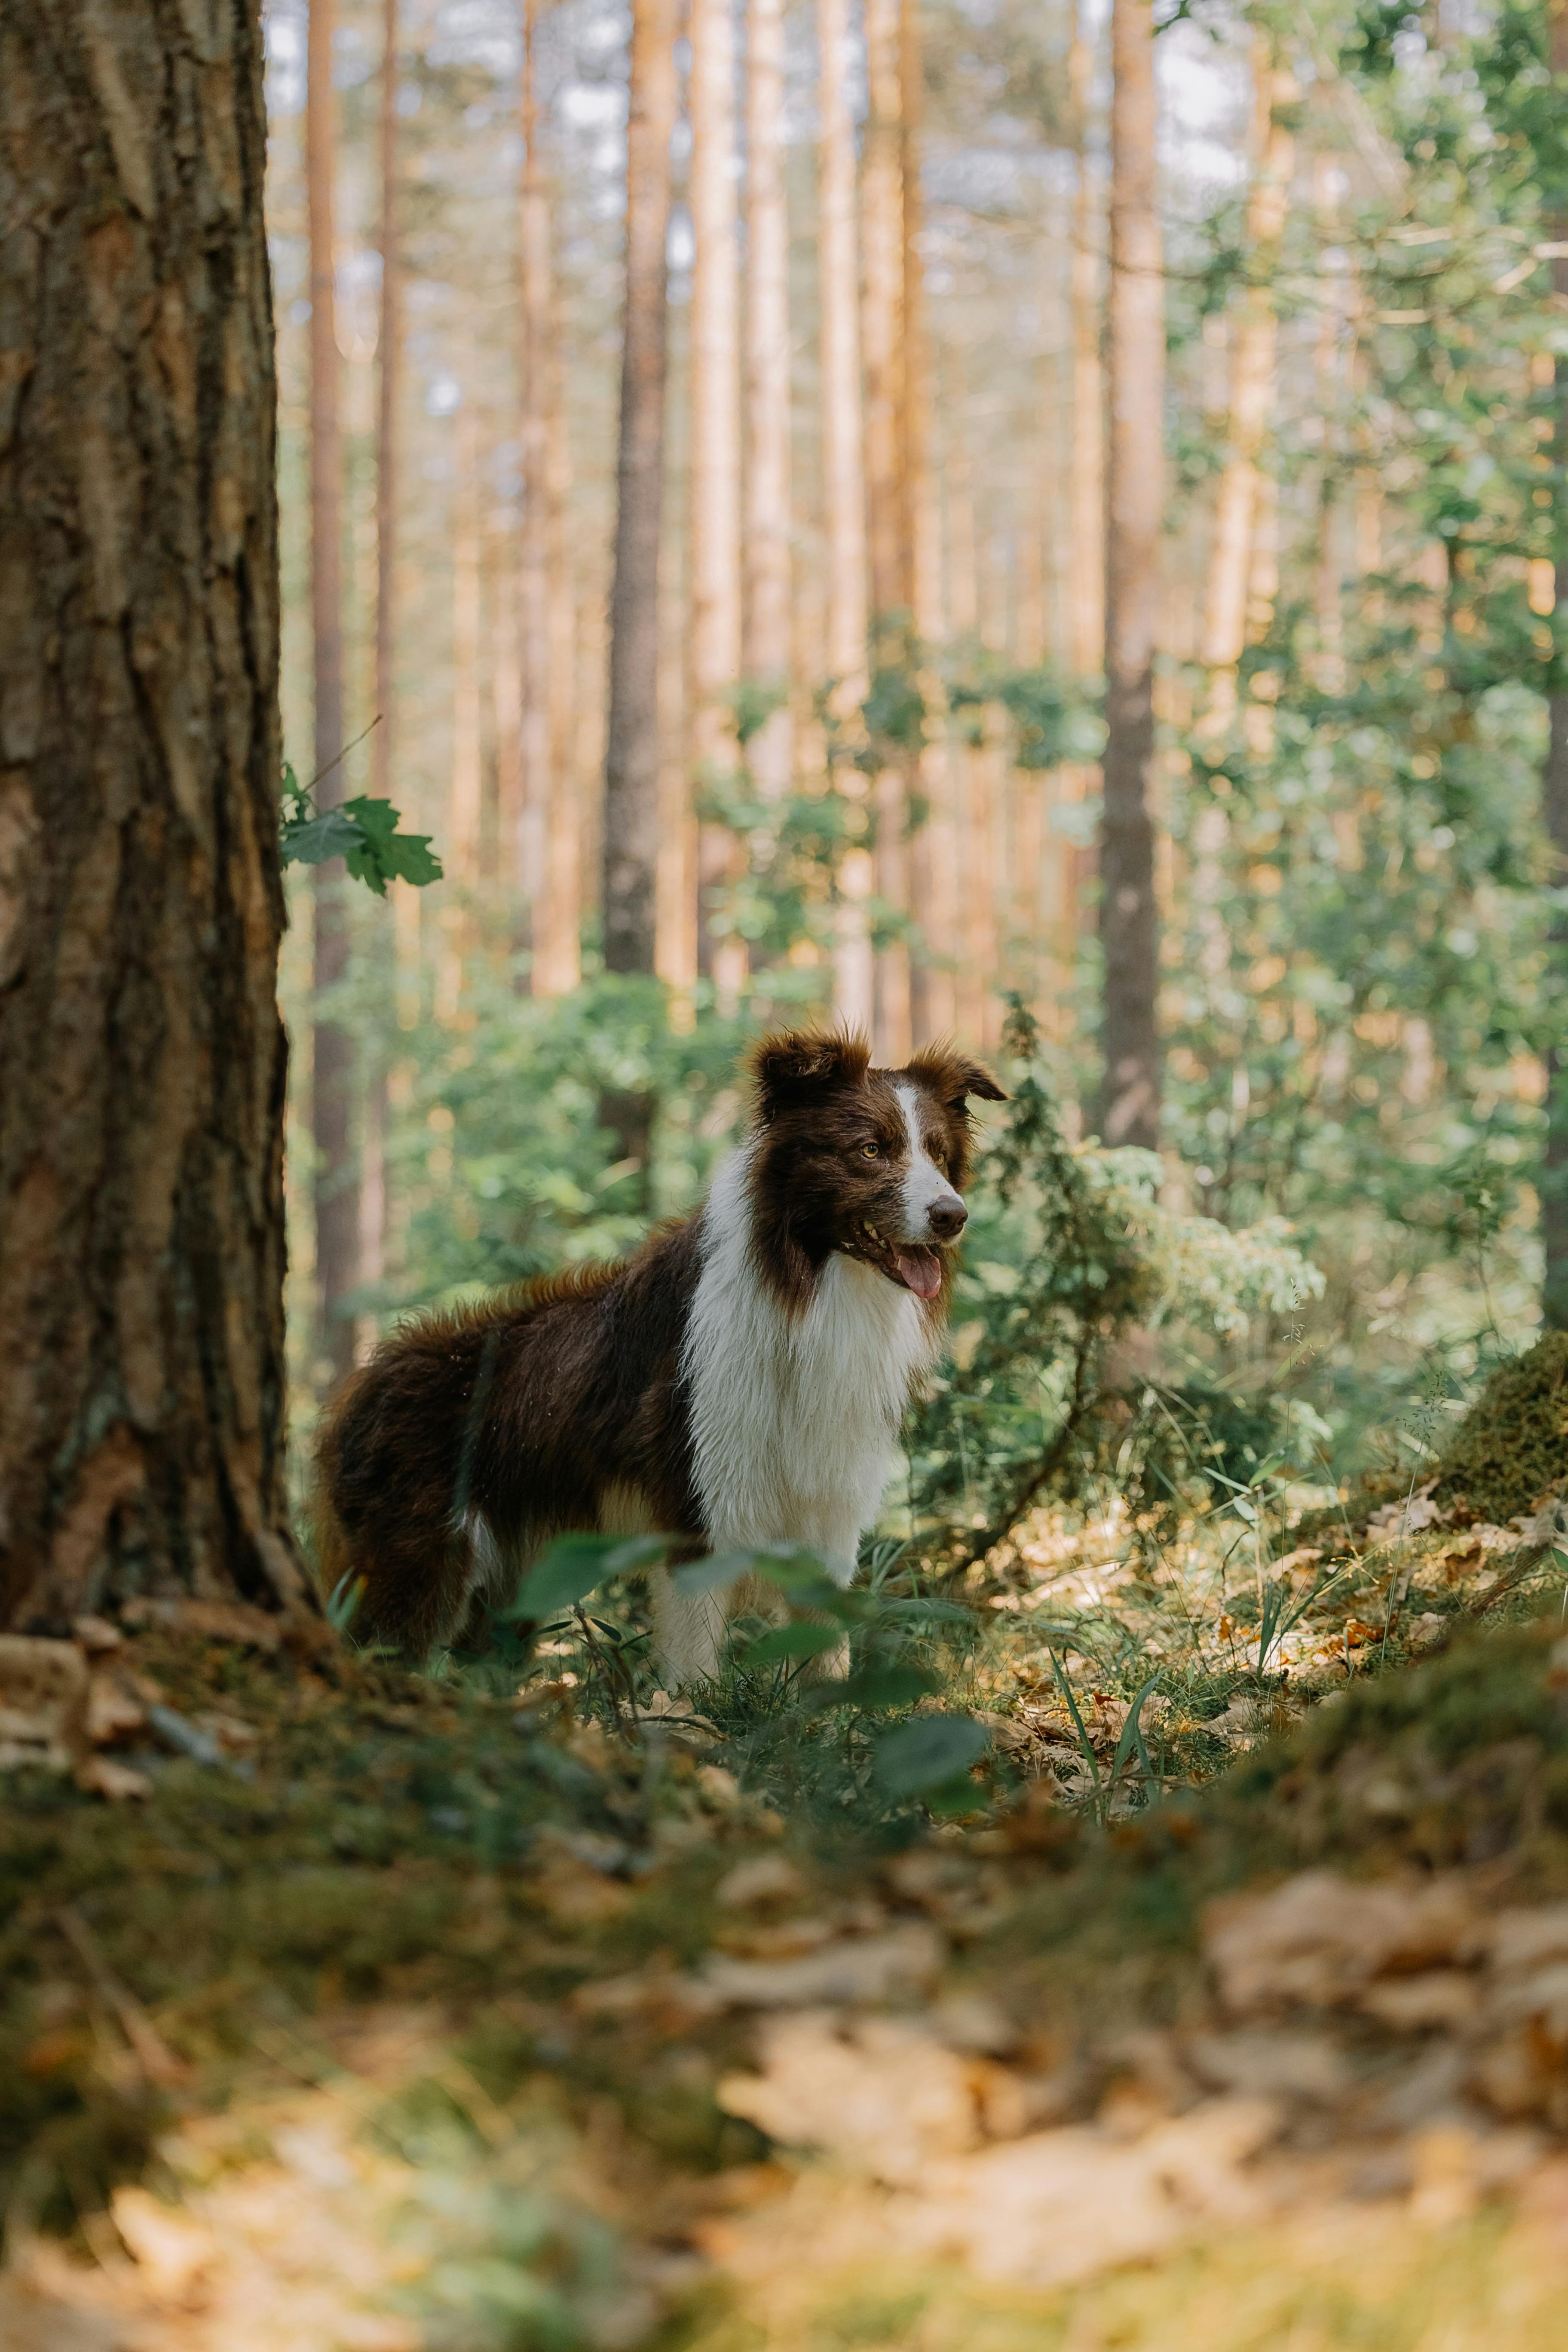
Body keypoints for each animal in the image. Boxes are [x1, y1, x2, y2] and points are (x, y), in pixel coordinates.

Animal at [315, 1025, 1006, 1675]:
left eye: (939, 1154)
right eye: (870, 1150)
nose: (953, 1216)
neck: (808, 1286)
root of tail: (360, 1387)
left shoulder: (830, 1493)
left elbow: (826, 1639)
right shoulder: (698, 1495)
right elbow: (695, 1658)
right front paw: (690, 1719)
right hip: (417, 1568)